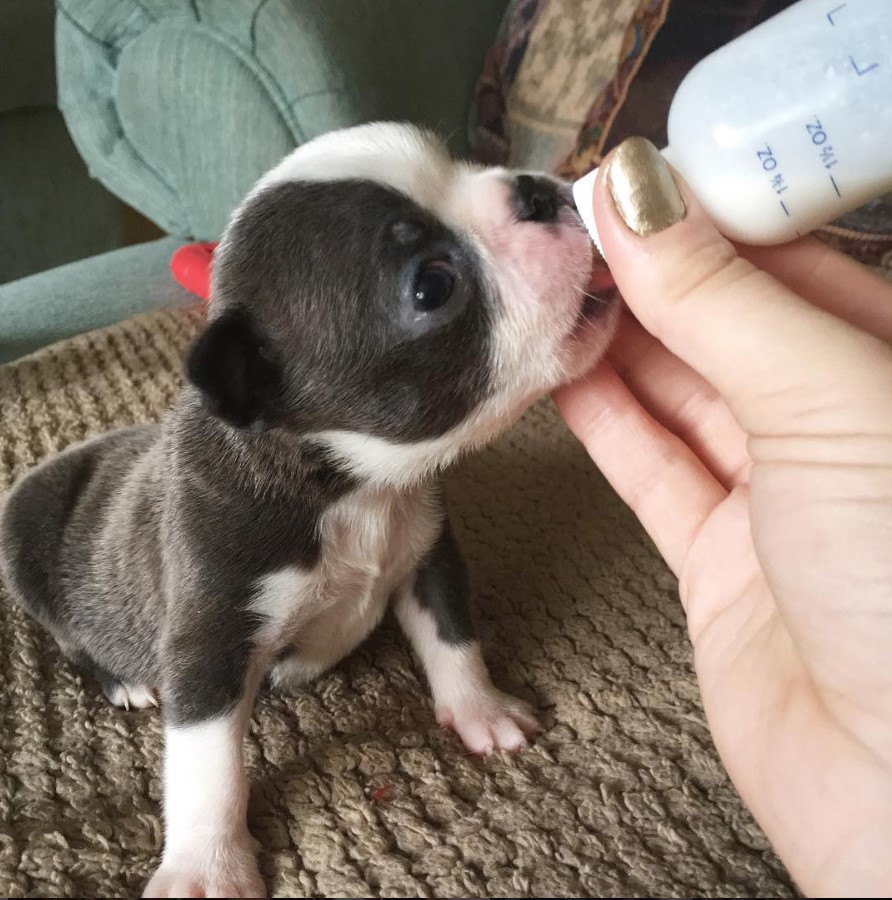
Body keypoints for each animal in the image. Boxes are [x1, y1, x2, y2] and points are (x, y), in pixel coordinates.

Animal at [0, 123, 620, 896]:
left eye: (464, 161)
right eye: (433, 284)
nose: (536, 191)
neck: (352, 486)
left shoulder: (428, 553)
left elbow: (453, 636)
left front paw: (482, 709)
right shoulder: (211, 636)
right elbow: (208, 766)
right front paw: (206, 865)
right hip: (24, 534)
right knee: (72, 639)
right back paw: (125, 683)